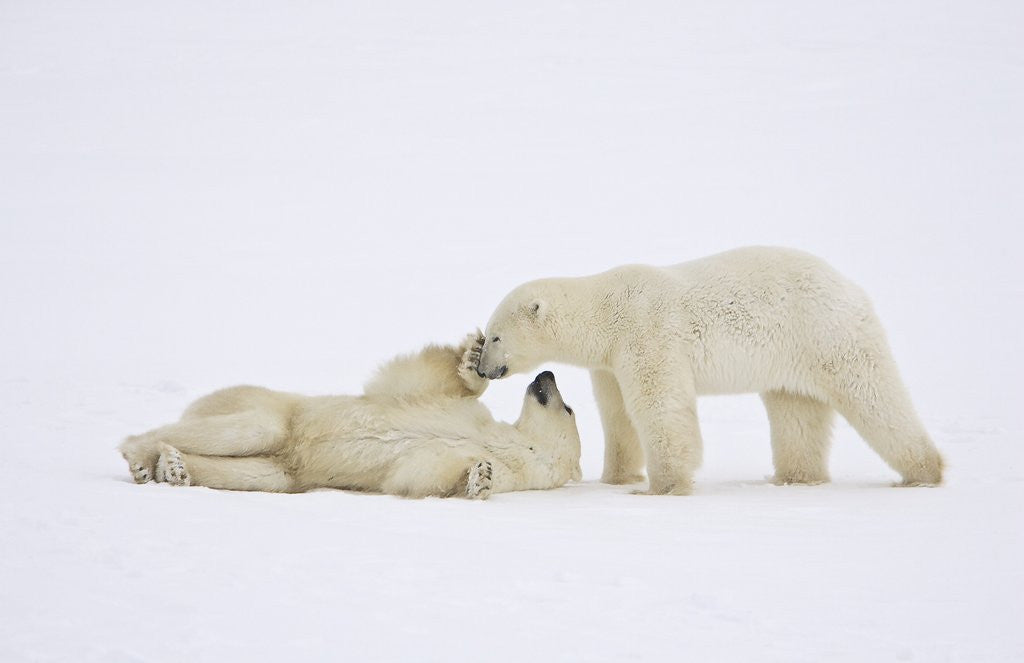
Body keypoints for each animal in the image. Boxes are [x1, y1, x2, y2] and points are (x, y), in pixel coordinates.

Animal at [119, 334, 581, 499]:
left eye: (569, 407)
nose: (547, 374)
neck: (509, 446)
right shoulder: (467, 416)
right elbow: (422, 384)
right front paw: (471, 358)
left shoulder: (501, 469)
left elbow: (419, 473)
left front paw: (478, 478)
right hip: (277, 407)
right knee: (251, 428)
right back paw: (143, 456)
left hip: (287, 470)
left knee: (256, 472)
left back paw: (172, 467)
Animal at [476, 246, 944, 495]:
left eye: (495, 336)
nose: (481, 369)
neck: (606, 310)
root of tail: (851, 287)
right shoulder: (610, 359)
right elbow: (618, 415)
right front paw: (616, 478)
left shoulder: (647, 332)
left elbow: (660, 405)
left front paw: (661, 486)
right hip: (791, 358)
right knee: (796, 412)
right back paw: (793, 478)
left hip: (825, 332)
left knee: (873, 393)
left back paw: (922, 473)